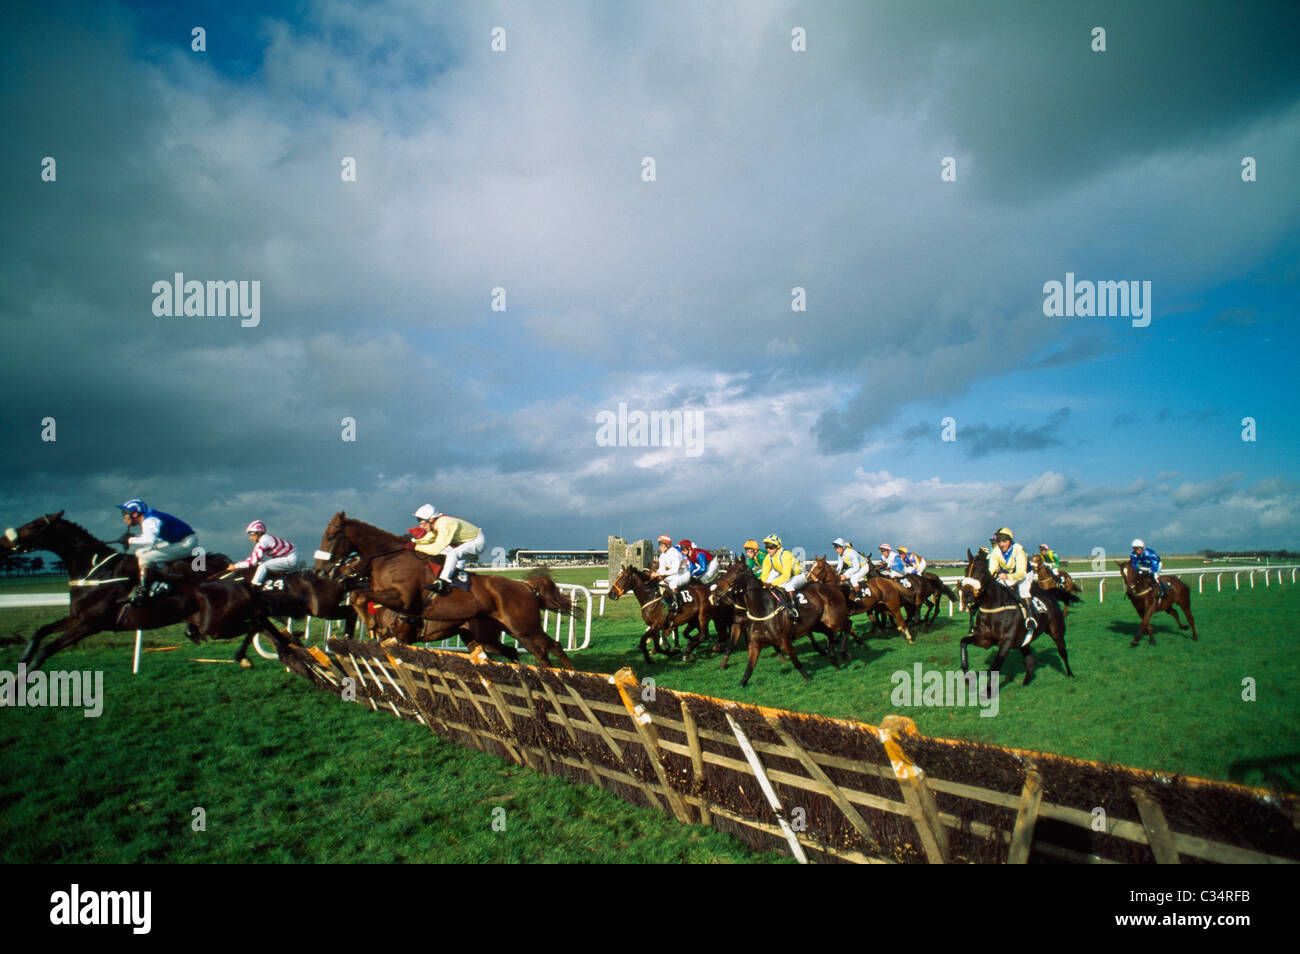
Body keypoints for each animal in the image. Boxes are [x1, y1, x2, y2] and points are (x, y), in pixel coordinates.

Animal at [309, 512, 574, 670]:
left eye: (331, 536)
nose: (320, 571)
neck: (391, 560)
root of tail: (523, 586)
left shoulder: (404, 603)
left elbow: (361, 596)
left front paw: (370, 622)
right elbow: (358, 597)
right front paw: (371, 623)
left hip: (525, 627)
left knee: (553, 647)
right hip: (495, 633)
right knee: (526, 653)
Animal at [956, 548, 1076, 691]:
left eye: (982, 571)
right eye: (966, 570)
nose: (967, 595)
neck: (995, 609)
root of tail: (1049, 593)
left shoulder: (1006, 642)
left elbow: (995, 666)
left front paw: (988, 692)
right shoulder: (984, 639)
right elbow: (963, 642)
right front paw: (967, 677)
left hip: (1057, 631)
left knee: (1062, 652)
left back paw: (1070, 673)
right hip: (1023, 640)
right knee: (1030, 659)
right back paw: (1026, 681)